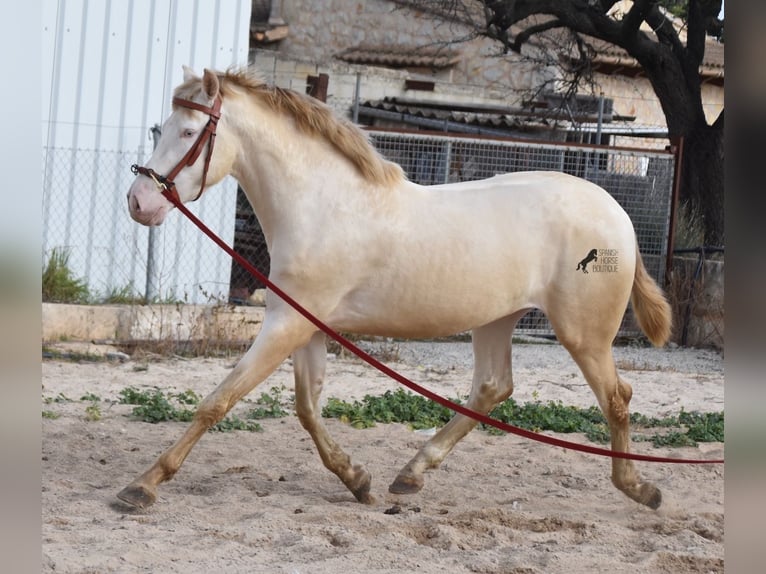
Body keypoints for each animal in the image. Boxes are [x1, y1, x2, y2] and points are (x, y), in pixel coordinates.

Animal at [120, 67, 672, 512]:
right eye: (165, 127)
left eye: (189, 131)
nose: (139, 200)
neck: (321, 206)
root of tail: (617, 215)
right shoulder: (305, 327)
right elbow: (307, 407)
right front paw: (357, 480)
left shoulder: (286, 325)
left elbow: (218, 401)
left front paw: (142, 486)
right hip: (497, 319)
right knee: (493, 387)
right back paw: (410, 475)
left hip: (584, 334)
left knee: (617, 397)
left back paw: (640, 489)